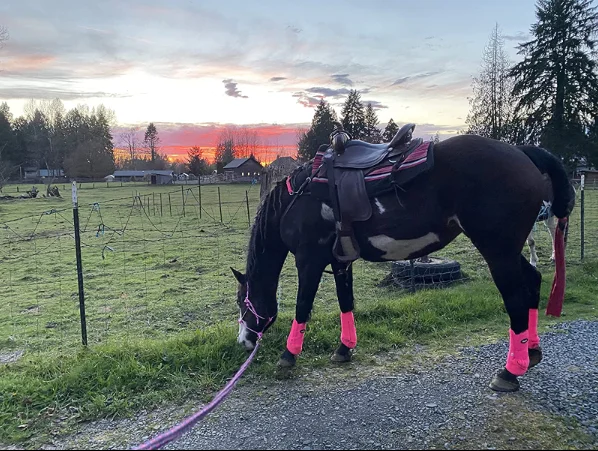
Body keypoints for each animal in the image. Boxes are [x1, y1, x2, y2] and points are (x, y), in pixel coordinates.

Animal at [231, 130, 575, 393]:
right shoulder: (340, 261)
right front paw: (344, 348)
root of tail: (521, 152)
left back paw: (510, 371)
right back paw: (531, 351)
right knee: (532, 281)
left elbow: (303, 306)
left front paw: (289, 355)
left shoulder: (309, 260)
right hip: (507, 249)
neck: (297, 198)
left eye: (242, 301)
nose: (244, 341)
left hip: (498, 251)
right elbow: (346, 302)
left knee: (516, 298)